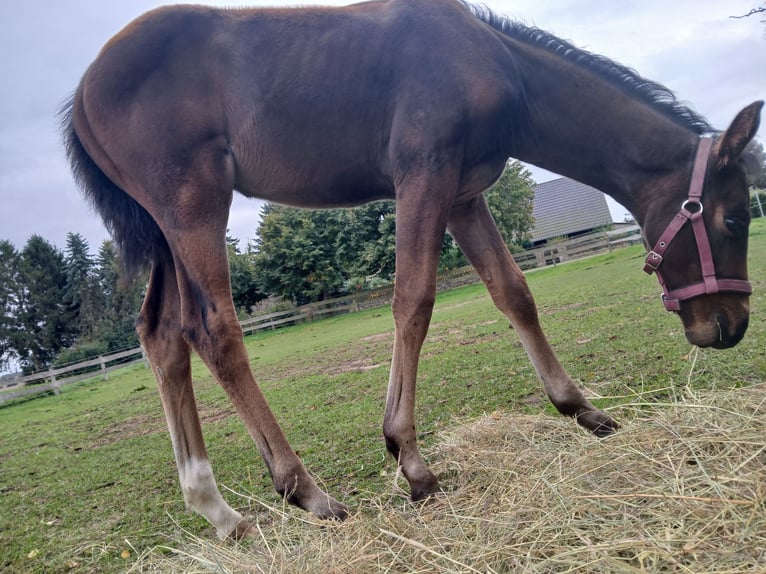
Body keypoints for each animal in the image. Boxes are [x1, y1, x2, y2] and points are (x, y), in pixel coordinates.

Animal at [61, 0, 761, 538]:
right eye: (732, 218)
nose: (729, 326)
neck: (496, 64)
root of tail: (83, 90)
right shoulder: (423, 177)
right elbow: (413, 300)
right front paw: (411, 461)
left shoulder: (464, 194)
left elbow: (513, 291)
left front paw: (582, 410)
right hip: (193, 206)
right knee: (213, 330)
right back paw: (306, 491)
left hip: (163, 230)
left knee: (161, 335)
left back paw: (219, 511)